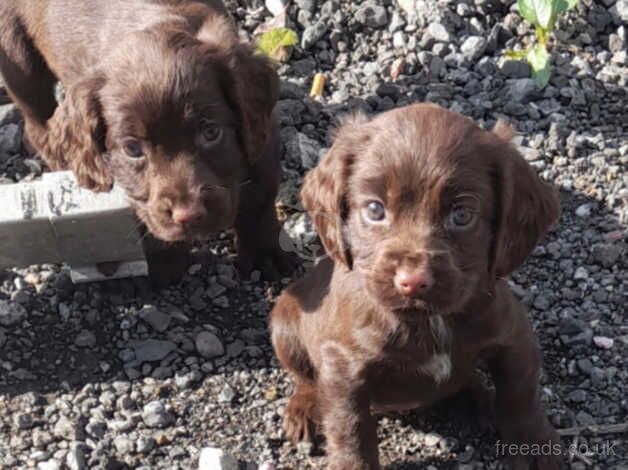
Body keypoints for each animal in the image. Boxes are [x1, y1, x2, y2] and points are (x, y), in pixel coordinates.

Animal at [0, 0, 290, 278]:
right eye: (132, 148)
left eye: (211, 132)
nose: (189, 216)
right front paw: (166, 263)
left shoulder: (262, 137)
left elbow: (259, 199)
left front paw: (265, 256)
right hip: (18, 60)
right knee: (37, 121)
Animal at [270, 104, 564, 468]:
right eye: (374, 209)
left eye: (462, 215)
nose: (412, 282)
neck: (427, 319)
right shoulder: (344, 369)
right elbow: (350, 432)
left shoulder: (514, 335)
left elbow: (521, 394)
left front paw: (534, 446)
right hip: (284, 324)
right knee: (304, 377)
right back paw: (304, 410)